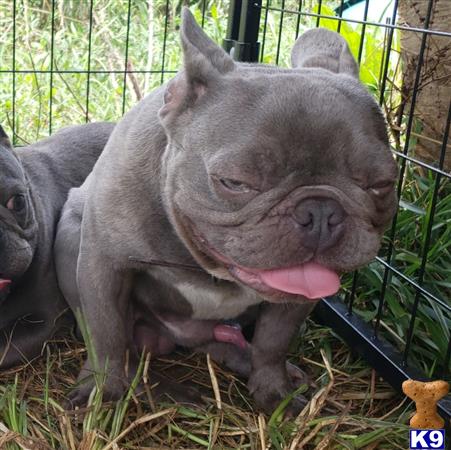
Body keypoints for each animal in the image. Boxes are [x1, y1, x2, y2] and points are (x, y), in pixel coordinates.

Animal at [54, 7, 398, 414]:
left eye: (382, 185)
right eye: (234, 182)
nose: (319, 212)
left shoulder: (298, 299)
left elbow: (273, 342)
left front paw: (274, 392)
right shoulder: (103, 268)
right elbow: (106, 335)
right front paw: (102, 392)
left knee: (223, 344)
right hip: (69, 235)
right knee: (127, 347)